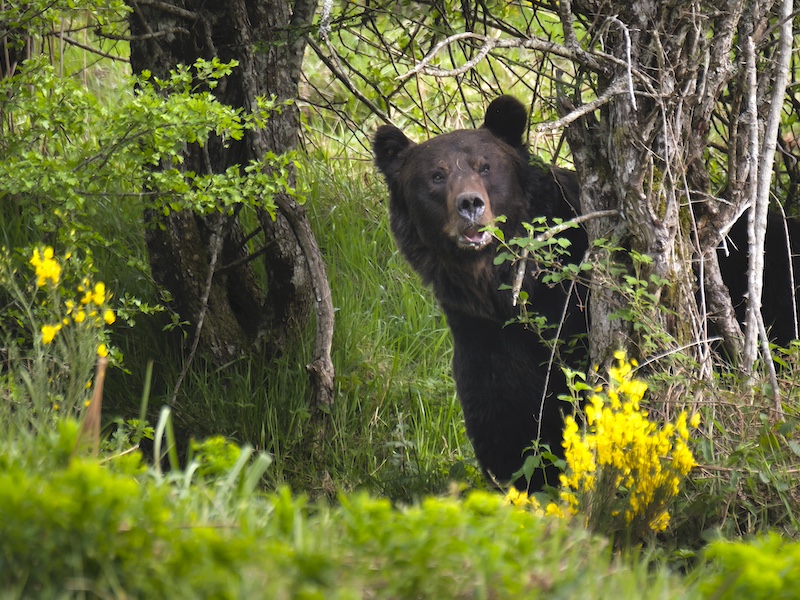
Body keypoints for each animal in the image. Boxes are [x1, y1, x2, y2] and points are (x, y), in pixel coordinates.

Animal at [374, 96, 588, 490]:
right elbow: (507, 421)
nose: (470, 204)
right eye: (437, 175)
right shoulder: (483, 336)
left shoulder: (572, 306)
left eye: (485, 166)